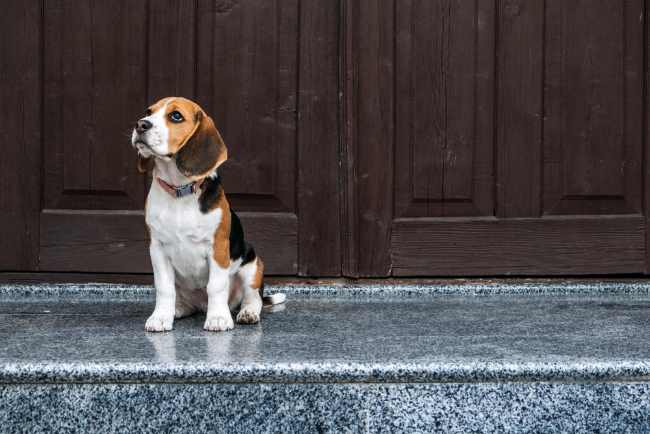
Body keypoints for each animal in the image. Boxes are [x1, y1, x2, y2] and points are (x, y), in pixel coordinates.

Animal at [130, 96, 282, 332]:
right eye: (148, 111)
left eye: (176, 116)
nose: (141, 124)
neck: (179, 191)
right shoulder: (157, 249)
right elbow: (164, 288)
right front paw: (161, 317)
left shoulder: (217, 249)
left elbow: (216, 286)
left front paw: (218, 318)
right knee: (184, 300)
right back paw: (178, 309)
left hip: (252, 266)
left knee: (253, 298)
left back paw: (246, 313)